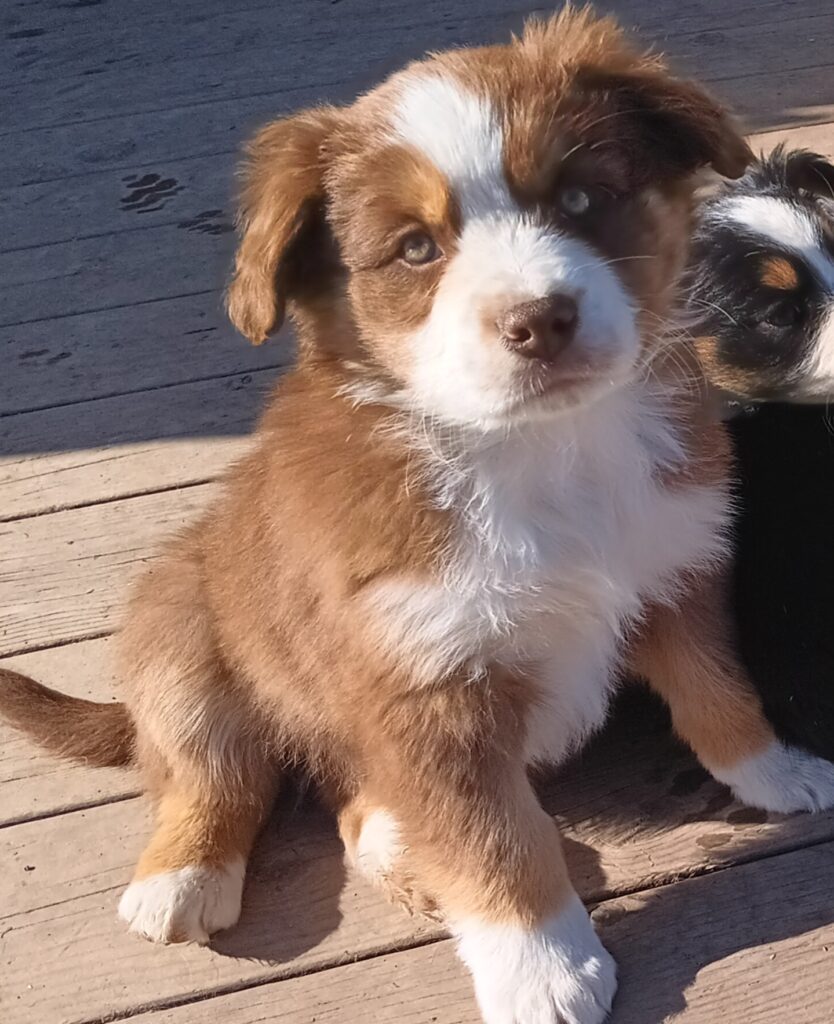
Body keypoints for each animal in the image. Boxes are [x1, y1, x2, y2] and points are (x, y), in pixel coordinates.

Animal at [4, 12, 833, 1024]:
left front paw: (779, 770)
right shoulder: (425, 688)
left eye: (583, 198)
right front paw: (542, 969)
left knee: (357, 813)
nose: (539, 321)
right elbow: (495, 840)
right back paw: (182, 879)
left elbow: (719, 691)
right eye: (413, 250)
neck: (544, 453)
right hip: (184, 639)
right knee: (217, 769)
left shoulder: (675, 574)